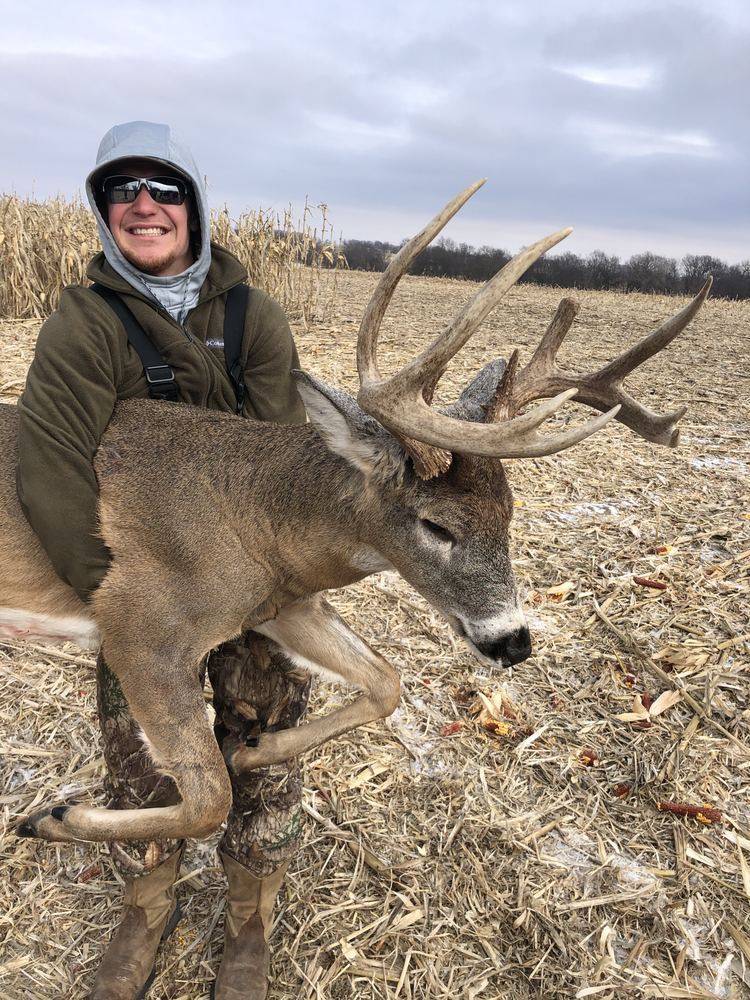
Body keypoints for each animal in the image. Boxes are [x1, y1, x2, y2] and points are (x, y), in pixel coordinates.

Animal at [0, 180, 710, 847]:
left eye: (511, 513)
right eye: (436, 525)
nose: (514, 641)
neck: (255, 518)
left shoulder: (286, 603)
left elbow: (385, 681)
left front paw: (256, 747)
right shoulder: (139, 627)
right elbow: (210, 802)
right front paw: (54, 816)